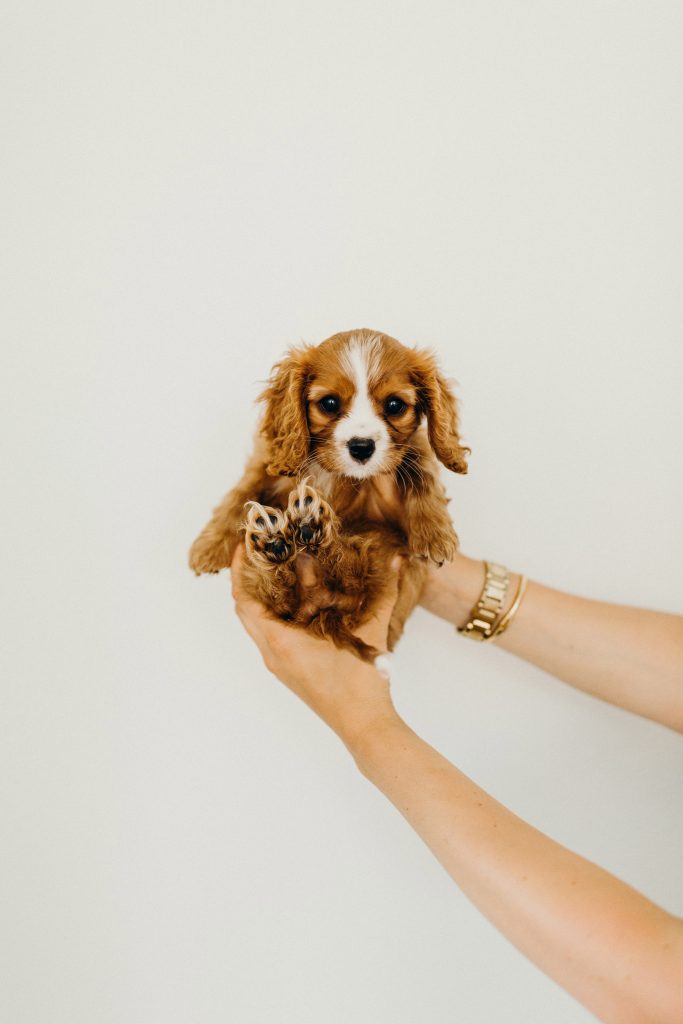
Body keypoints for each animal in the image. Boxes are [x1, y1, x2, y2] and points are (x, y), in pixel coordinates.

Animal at [191, 329, 471, 663]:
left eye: (394, 405)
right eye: (329, 403)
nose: (361, 447)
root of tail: (320, 614)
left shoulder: (412, 447)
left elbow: (423, 472)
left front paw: (434, 536)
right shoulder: (267, 459)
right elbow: (239, 493)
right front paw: (208, 548)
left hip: (377, 555)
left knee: (349, 568)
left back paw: (310, 526)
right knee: (281, 595)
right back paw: (274, 542)